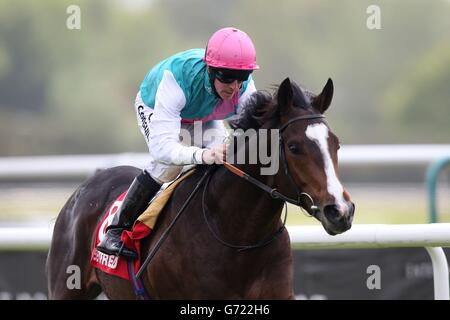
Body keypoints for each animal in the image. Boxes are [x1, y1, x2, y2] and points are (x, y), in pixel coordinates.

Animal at [45, 77, 356, 300]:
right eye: (294, 147)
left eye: (336, 144)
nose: (340, 211)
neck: (238, 237)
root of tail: (87, 185)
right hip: (66, 287)